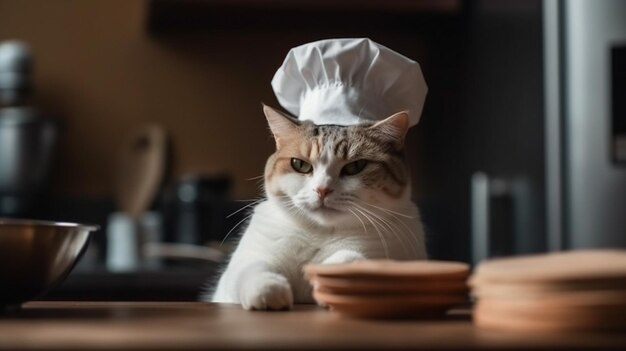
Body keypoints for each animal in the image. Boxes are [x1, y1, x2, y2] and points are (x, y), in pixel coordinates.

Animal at [207, 105, 426, 310]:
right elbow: (251, 268)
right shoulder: (240, 269)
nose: (322, 189)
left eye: (355, 166)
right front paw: (267, 289)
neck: (321, 232)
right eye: (299, 164)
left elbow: (355, 259)